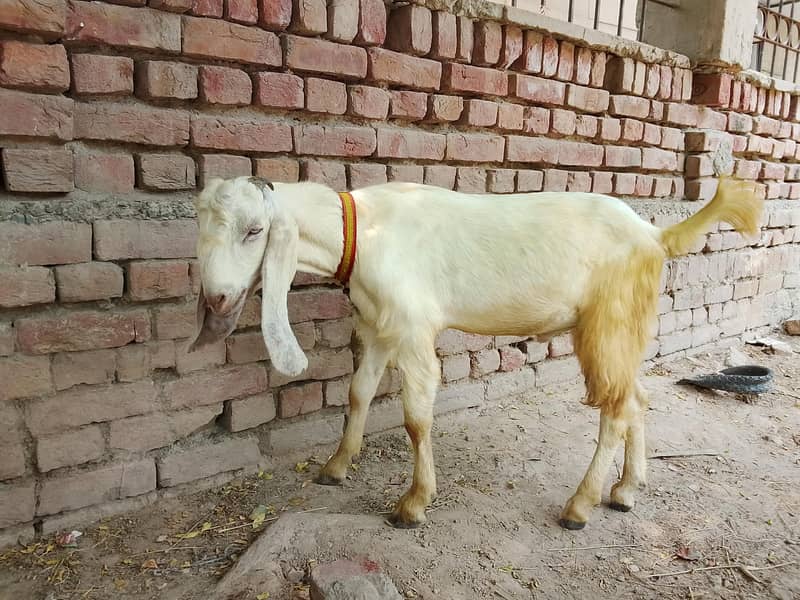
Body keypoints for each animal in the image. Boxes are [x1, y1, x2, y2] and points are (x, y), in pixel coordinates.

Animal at [189, 176, 761, 530]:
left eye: (255, 230)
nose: (216, 297)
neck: (362, 230)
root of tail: (654, 233)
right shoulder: (378, 327)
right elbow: (358, 394)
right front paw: (336, 466)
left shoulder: (413, 329)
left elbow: (416, 418)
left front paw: (413, 504)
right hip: (625, 327)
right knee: (636, 397)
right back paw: (626, 490)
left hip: (609, 320)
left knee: (616, 408)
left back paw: (580, 506)